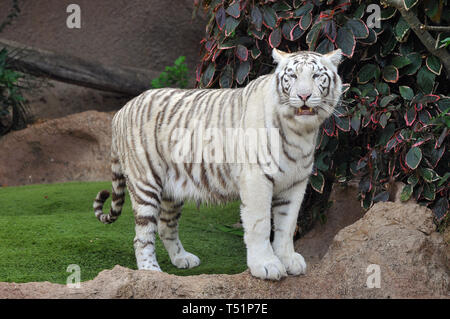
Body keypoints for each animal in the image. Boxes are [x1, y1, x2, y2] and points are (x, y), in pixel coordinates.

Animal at [93, 48, 342, 282]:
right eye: (292, 76)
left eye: (316, 76)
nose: (304, 95)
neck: (300, 131)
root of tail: (121, 110)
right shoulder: (257, 180)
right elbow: (260, 224)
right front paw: (266, 265)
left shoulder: (296, 183)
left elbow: (286, 225)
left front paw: (288, 260)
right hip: (146, 183)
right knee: (142, 236)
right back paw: (151, 272)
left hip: (172, 191)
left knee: (166, 226)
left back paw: (182, 259)